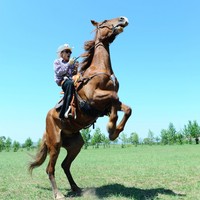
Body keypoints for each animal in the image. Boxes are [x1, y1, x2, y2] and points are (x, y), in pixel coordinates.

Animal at [28, 16, 131, 200]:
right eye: (104, 21)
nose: (123, 19)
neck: (99, 70)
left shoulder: (107, 103)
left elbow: (126, 108)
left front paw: (114, 131)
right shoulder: (95, 98)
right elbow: (114, 99)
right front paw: (111, 126)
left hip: (76, 145)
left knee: (65, 165)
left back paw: (76, 188)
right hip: (55, 144)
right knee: (50, 169)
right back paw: (58, 194)